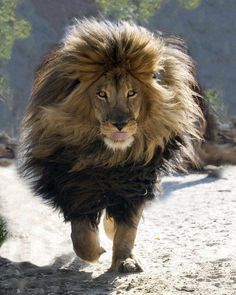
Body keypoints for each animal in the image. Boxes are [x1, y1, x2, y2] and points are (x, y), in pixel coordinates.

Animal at [19, 19, 205, 274]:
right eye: (101, 94)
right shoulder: (76, 187)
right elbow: (81, 237)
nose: (120, 124)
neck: (109, 157)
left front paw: (126, 260)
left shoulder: (134, 184)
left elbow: (127, 231)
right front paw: (95, 253)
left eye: (132, 93)